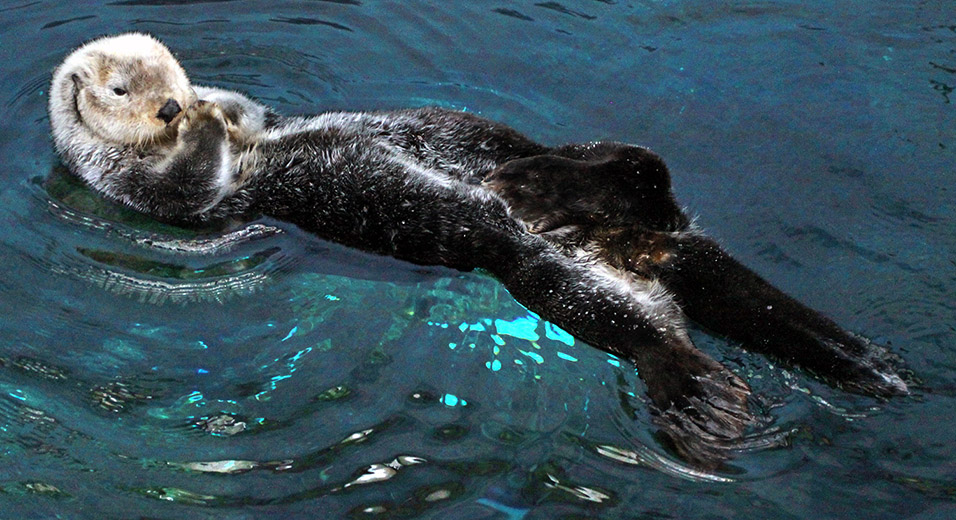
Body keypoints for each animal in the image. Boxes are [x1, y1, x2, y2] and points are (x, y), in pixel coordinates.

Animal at [46, 33, 912, 468]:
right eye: (121, 89)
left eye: (172, 70)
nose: (173, 103)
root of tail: (634, 247)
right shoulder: (143, 192)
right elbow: (189, 181)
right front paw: (201, 126)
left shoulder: (248, 124)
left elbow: (249, 112)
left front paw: (216, 107)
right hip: (554, 280)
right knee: (643, 328)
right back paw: (704, 394)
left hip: (512, 148)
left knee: (635, 168)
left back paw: (541, 183)